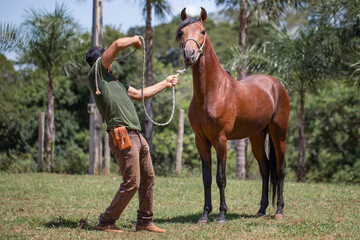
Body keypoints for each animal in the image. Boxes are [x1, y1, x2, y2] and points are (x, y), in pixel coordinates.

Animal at [176, 7, 292, 225]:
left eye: (203, 31)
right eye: (181, 32)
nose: (189, 54)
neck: (212, 92)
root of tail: (276, 85)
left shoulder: (220, 140)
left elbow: (221, 178)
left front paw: (222, 215)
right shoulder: (201, 141)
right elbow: (206, 178)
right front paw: (205, 215)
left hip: (278, 134)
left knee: (280, 169)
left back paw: (279, 211)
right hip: (257, 137)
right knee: (265, 169)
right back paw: (261, 210)